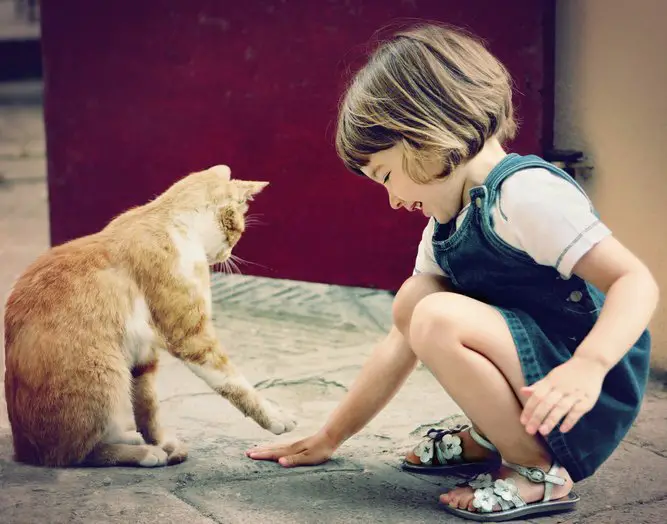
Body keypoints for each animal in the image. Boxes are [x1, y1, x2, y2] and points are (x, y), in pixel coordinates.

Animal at [2, 164, 294, 466]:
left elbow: (147, 405)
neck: (172, 221)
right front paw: (275, 417)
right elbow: (234, 383)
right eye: (238, 232)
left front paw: (160, 441)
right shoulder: (192, 337)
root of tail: (25, 452)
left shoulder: (144, 351)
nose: (229, 254)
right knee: (76, 454)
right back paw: (141, 452)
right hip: (107, 373)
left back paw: (133, 439)